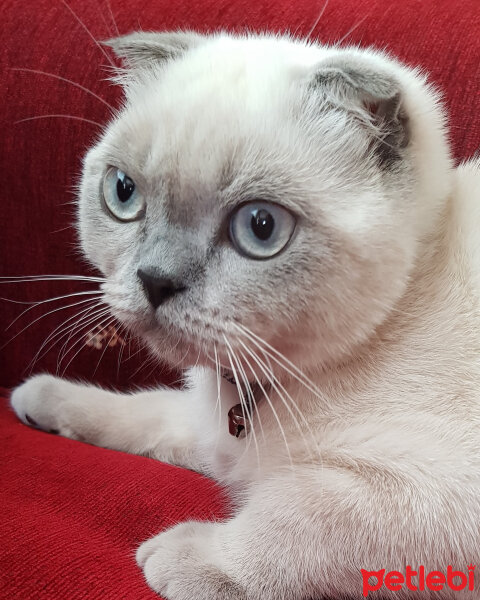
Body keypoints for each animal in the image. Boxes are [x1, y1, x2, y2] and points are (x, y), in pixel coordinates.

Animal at [9, 32, 480, 600]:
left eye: (260, 226)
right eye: (123, 192)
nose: (155, 280)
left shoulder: (432, 491)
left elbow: (300, 516)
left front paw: (186, 557)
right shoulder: (213, 434)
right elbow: (145, 412)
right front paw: (39, 398)